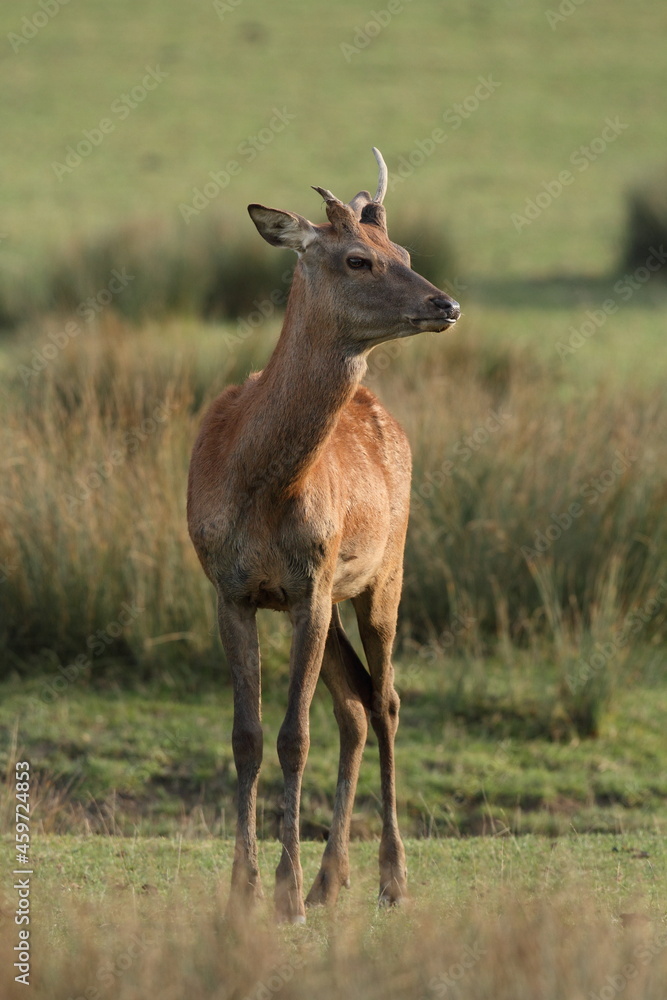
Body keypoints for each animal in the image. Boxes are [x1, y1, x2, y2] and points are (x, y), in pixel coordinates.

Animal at [187, 148, 460, 923]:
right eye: (355, 258)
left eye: (404, 251)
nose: (445, 304)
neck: (259, 488)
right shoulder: (233, 590)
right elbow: (247, 736)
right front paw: (244, 889)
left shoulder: (308, 585)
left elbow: (292, 736)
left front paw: (283, 894)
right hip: (330, 599)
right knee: (356, 707)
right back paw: (331, 878)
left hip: (383, 573)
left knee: (387, 701)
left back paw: (390, 878)